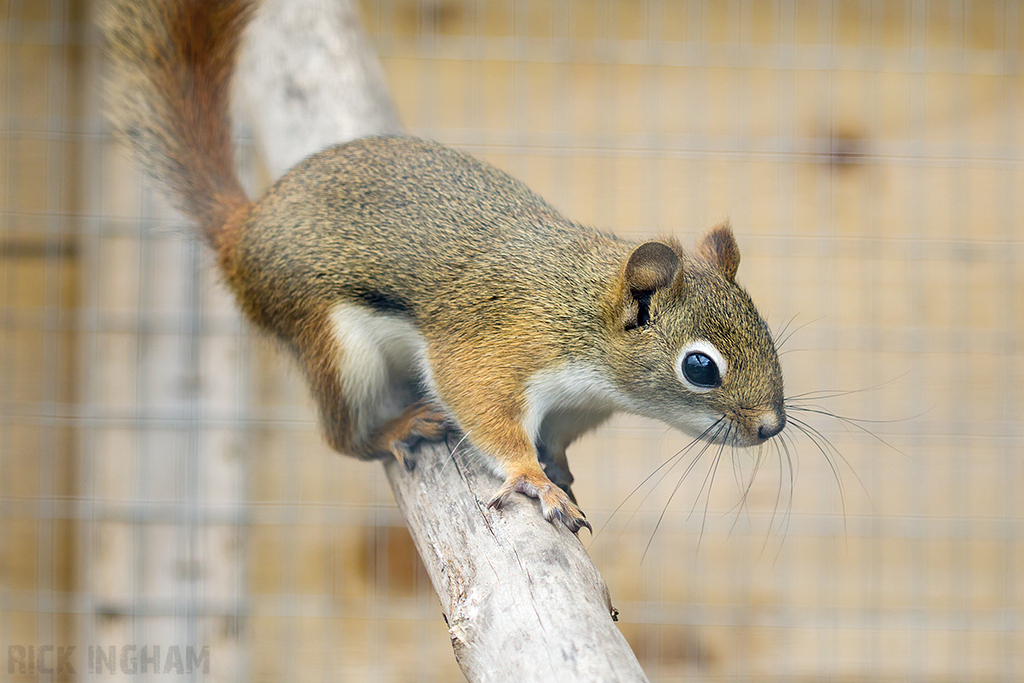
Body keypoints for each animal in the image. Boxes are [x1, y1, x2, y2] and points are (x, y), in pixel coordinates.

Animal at [101, 0, 782, 532]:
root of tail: (242, 233)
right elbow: (484, 410)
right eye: (700, 367)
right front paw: (535, 478)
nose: (771, 427)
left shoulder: (573, 408)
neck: (582, 314)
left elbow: (557, 438)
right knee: (341, 436)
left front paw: (559, 468)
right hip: (334, 345)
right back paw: (393, 430)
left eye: (767, 331)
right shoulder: (500, 348)